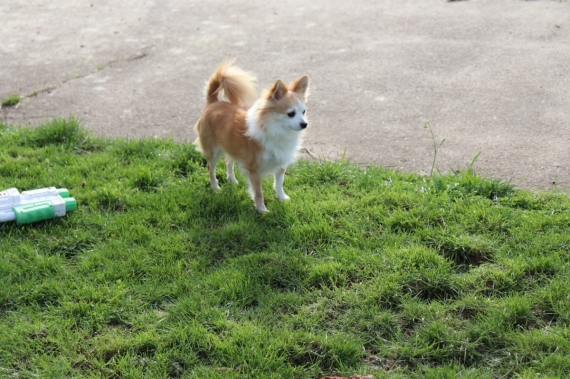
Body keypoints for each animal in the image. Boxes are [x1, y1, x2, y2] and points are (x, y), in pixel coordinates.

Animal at [193, 60, 308, 212]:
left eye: (303, 112)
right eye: (291, 114)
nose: (304, 124)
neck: (277, 131)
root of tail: (213, 103)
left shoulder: (280, 165)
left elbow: (279, 184)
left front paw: (282, 198)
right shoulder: (255, 170)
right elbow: (258, 192)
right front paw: (261, 210)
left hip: (232, 146)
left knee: (228, 161)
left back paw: (231, 179)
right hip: (213, 151)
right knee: (210, 168)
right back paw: (215, 187)